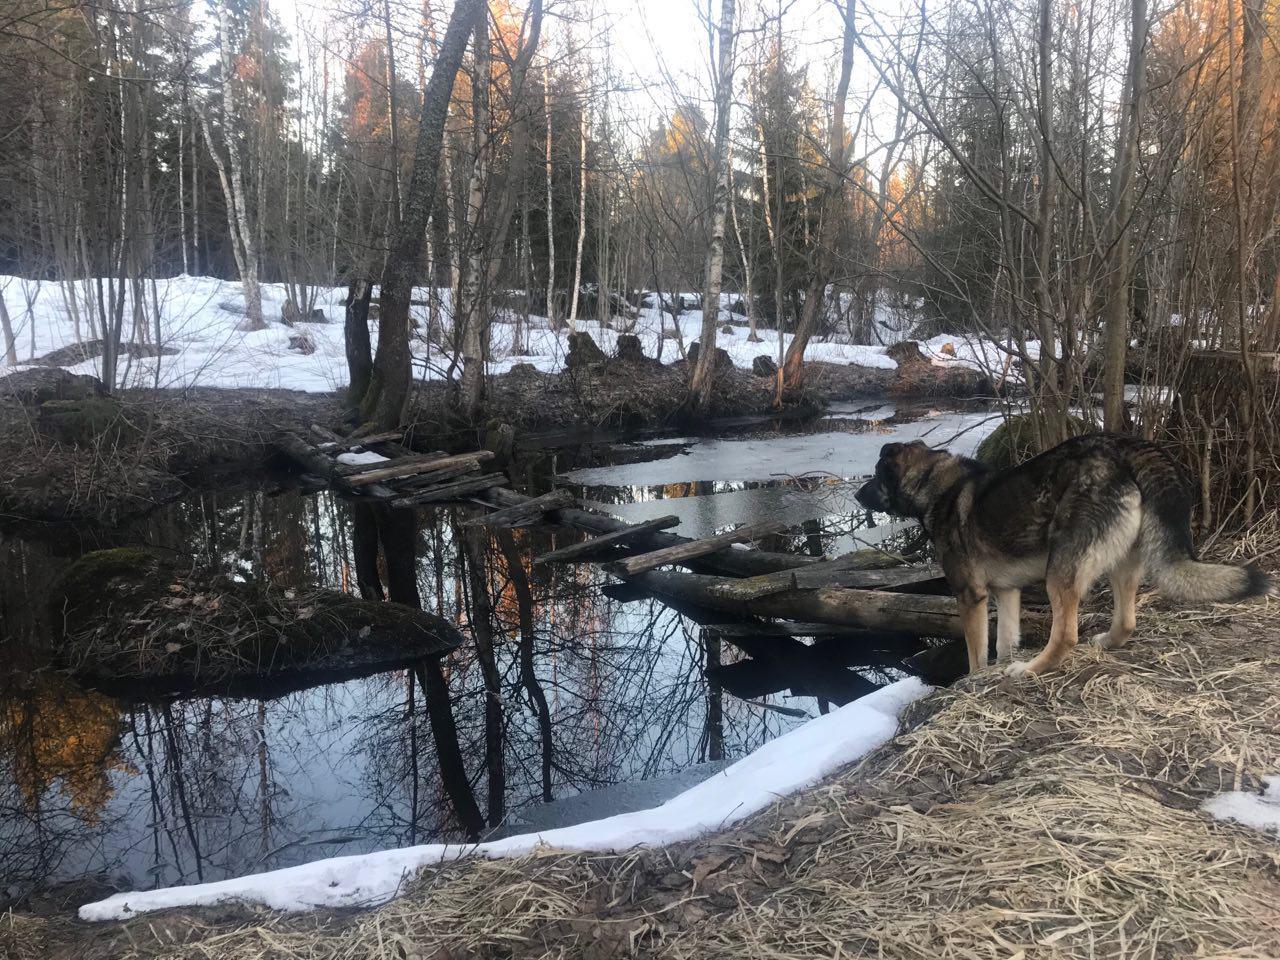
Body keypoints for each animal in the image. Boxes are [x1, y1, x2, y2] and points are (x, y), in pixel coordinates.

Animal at [849, 435, 1269, 675]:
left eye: (875, 475)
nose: (855, 494)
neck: (933, 484)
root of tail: (1126, 447)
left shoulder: (971, 597)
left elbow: (976, 653)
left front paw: (976, 680)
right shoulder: (1007, 592)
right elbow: (1004, 641)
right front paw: (998, 668)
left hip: (1060, 569)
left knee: (1065, 635)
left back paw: (1029, 670)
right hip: (1121, 565)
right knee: (1126, 622)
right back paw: (1105, 642)